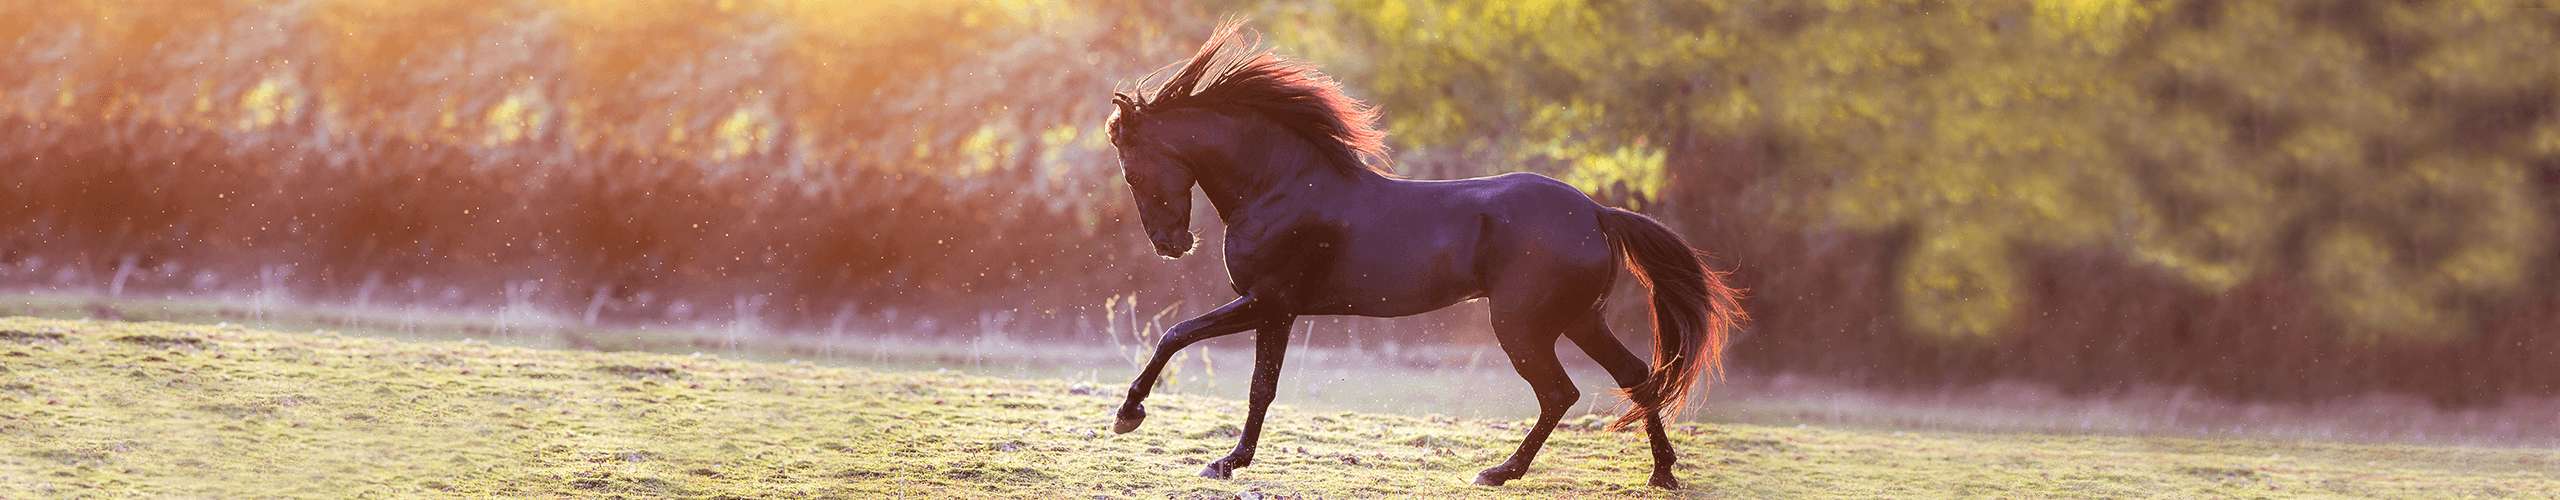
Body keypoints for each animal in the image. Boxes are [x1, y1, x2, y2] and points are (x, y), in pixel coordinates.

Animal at [1100, 19, 1740, 487]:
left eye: (1131, 171)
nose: (1171, 246)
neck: (1281, 187)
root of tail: (1596, 213)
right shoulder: (1278, 312)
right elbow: (1261, 387)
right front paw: (1229, 461)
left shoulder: (1268, 302)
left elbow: (1178, 336)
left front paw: (1133, 418)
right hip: (1580, 319)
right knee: (1637, 377)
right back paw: (1661, 474)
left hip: (1523, 325)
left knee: (1563, 392)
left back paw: (1499, 472)